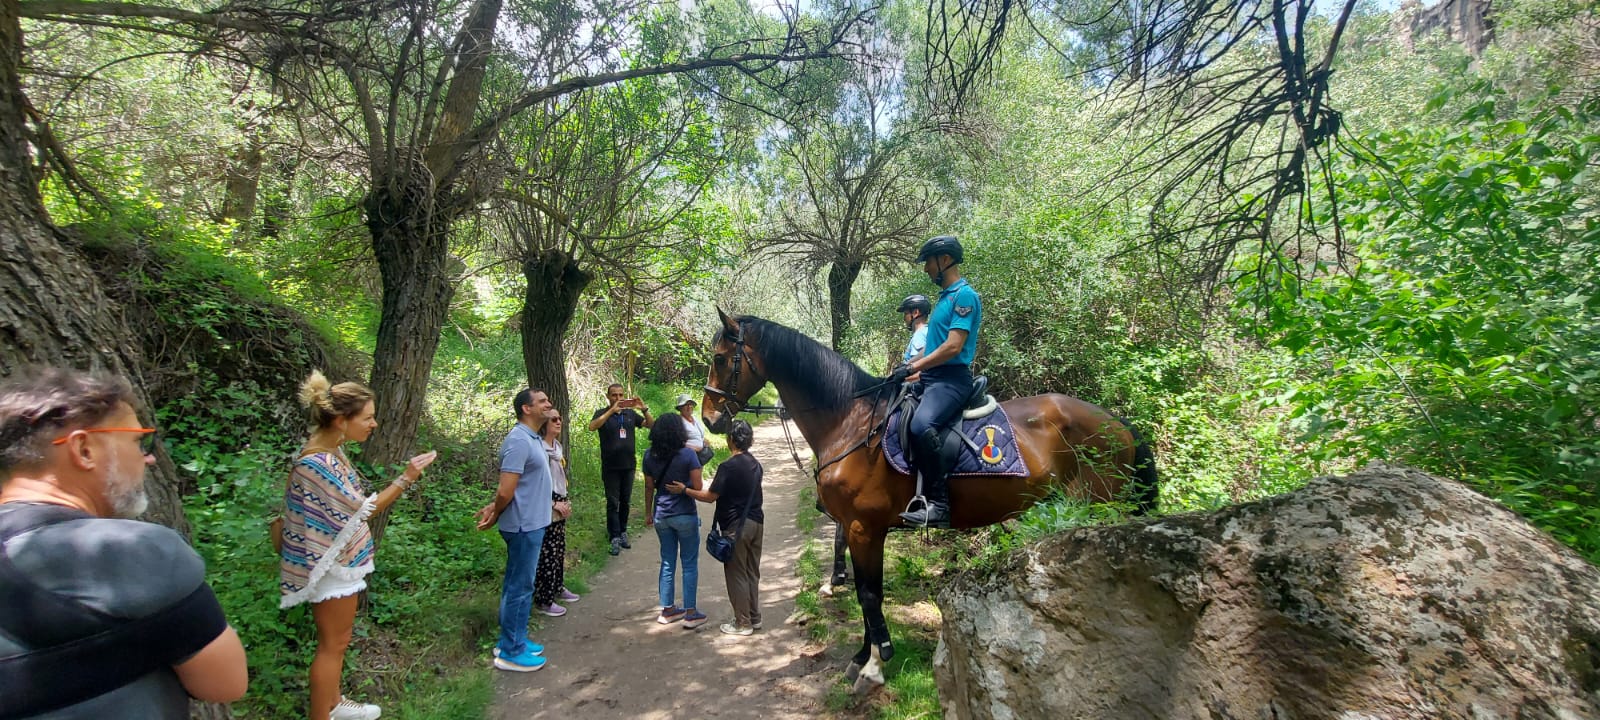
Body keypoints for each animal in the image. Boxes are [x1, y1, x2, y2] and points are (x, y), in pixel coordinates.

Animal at [694, 312, 1158, 684]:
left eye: (720, 358)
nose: (709, 419)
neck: (850, 422)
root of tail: (1116, 421)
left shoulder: (864, 529)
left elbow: (870, 595)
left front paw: (875, 665)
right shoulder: (860, 529)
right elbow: (864, 592)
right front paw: (862, 656)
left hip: (1097, 511)